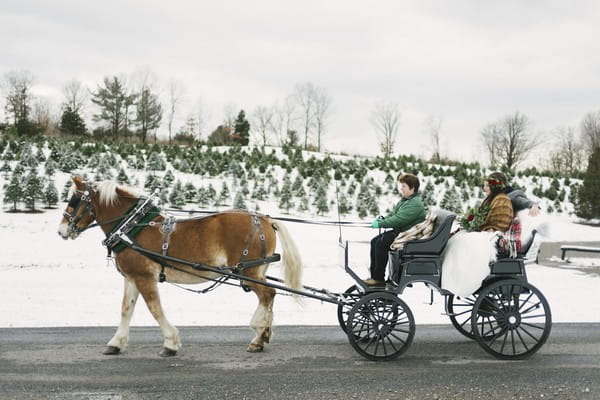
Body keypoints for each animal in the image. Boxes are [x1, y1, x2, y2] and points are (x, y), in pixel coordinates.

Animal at [58, 175, 302, 356]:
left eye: (73, 201)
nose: (61, 231)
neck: (132, 227)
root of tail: (265, 218)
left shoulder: (144, 277)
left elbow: (154, 308)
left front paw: (170, 343)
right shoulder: (132, 277)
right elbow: (126, 309)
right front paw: (116, 343)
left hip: (248, 270)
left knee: (268, 294)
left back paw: (258, 334)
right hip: (256, 270)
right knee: (268, 296)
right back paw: (263, 335)